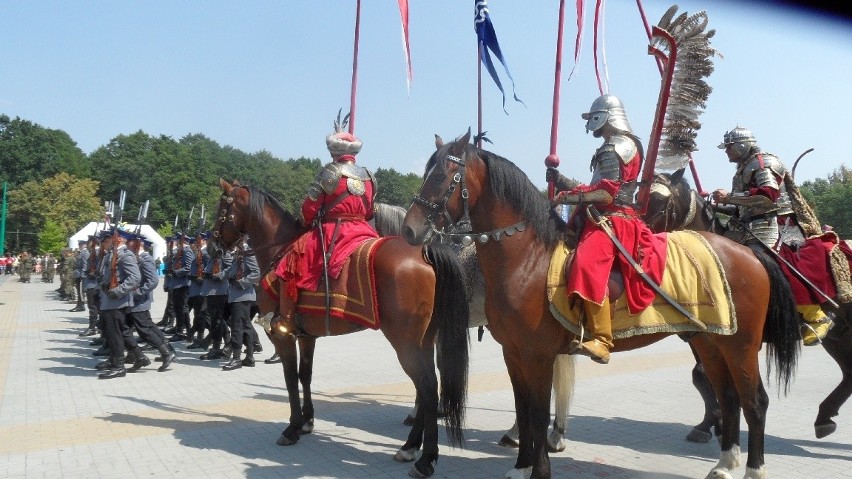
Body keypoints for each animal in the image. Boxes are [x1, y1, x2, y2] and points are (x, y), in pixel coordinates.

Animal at [209, 178, 470, 478]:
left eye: (221, 209)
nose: (214, 248)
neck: (279, 249)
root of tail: (425, 252)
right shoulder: (306, 336)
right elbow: (305, 375)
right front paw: (307, 421)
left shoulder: (281, 336)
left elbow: (289, 379)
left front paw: (292, 428)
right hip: (423, 341)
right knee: (426, 388)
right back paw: (410, 447)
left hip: (405, 343)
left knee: (427, 388)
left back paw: (425, 459)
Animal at [402, 132, 804, 479]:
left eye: (444, 176)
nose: (409, 230)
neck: (525, 259)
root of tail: (748, 252)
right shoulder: (513, 353)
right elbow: (523, 408)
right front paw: (520, 466)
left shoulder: (538, 355)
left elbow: (538, 413)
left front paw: (539, 470)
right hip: (711, 342)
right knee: (729, 397)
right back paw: (723, 465)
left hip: (742, 345)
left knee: (755, 402)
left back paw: (754, 469)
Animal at [644, 170, 852, 442]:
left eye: (660, 200)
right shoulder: (701, 337)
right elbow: (701, 374)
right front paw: (710, 423)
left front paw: (719, 424)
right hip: (839, 336)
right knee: (850, 374)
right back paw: (824, 418)